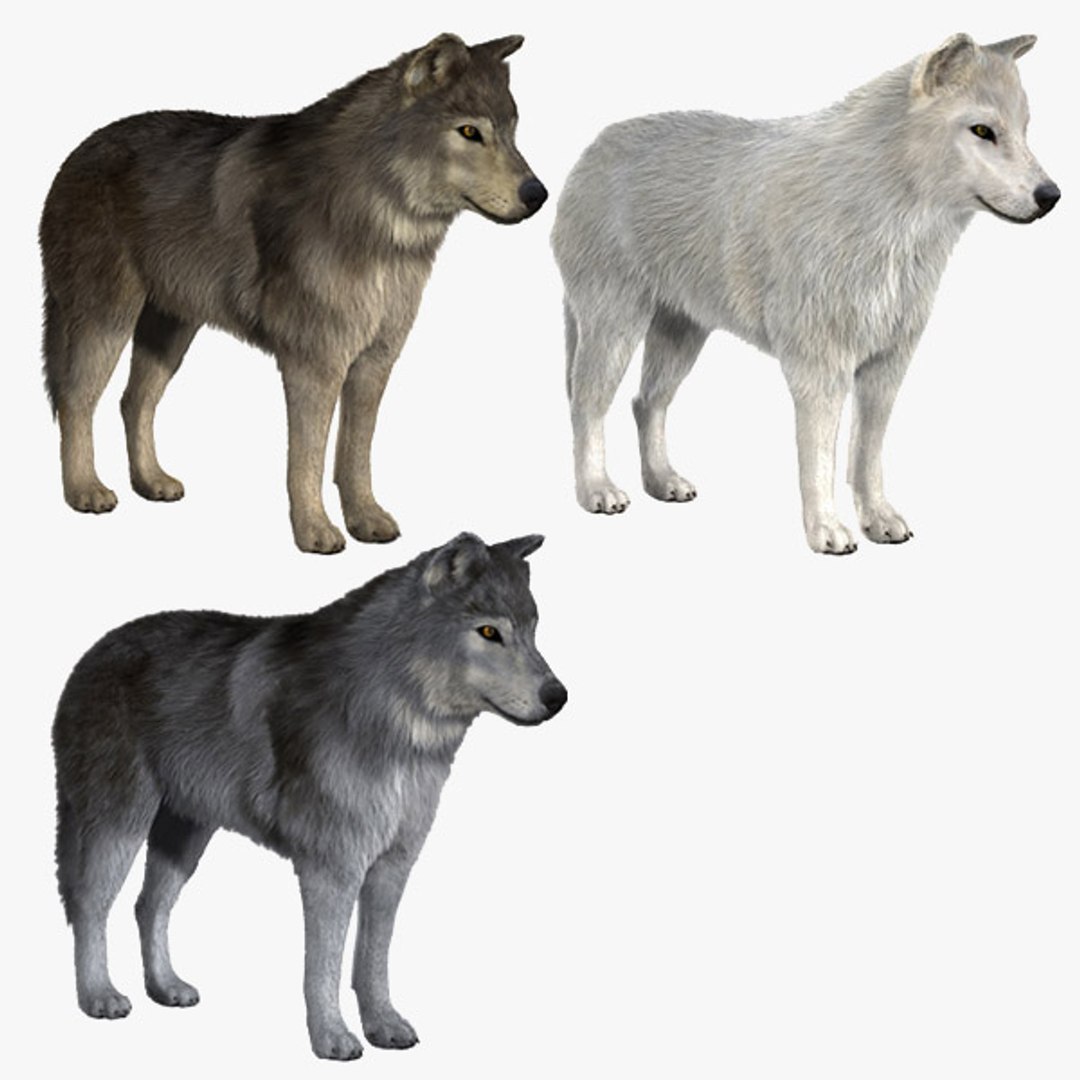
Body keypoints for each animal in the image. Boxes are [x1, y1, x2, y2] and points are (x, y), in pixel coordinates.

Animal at [40, 34, 546, 554]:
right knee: (76, 399)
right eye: (469, 132)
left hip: (171, 330)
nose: (539, 195)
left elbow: (355, 454)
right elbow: (308, 458)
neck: (375, 216)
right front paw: (315, 531)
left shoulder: (373, 363)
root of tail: (76, 154)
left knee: (133, 401)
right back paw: (85, 491)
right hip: (107, 319)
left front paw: (366, 519)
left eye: (512, 130)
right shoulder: (314, 363)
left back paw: (151, 482)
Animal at [52, 532, 566, 1060]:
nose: (558, 697)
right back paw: (98, 996)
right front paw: (332, 1038)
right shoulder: (332, 868)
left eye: (532, 630)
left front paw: (383, 1025)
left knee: (148, 906)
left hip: (185, 836)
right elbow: (324, 965)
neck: (390, 714)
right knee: (89, 904)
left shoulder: (391, 868)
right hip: (121, 823)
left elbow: (372, 960)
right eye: (489, 632)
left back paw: (166, 988)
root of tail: (92, 654)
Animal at [552, 34, 1059, 554]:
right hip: (616, 326)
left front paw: (878, 519)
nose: (1051, 196)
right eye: (983, 130)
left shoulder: (886, 367)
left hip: (682, 334)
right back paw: (596, 490)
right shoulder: (820, 369)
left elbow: (866, 455)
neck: (884, 216)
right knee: (587, 404)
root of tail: (593, 149)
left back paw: (663, 482)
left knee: (646, 403)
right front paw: (827, 532)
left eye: (1024, 130)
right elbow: (819, 461)